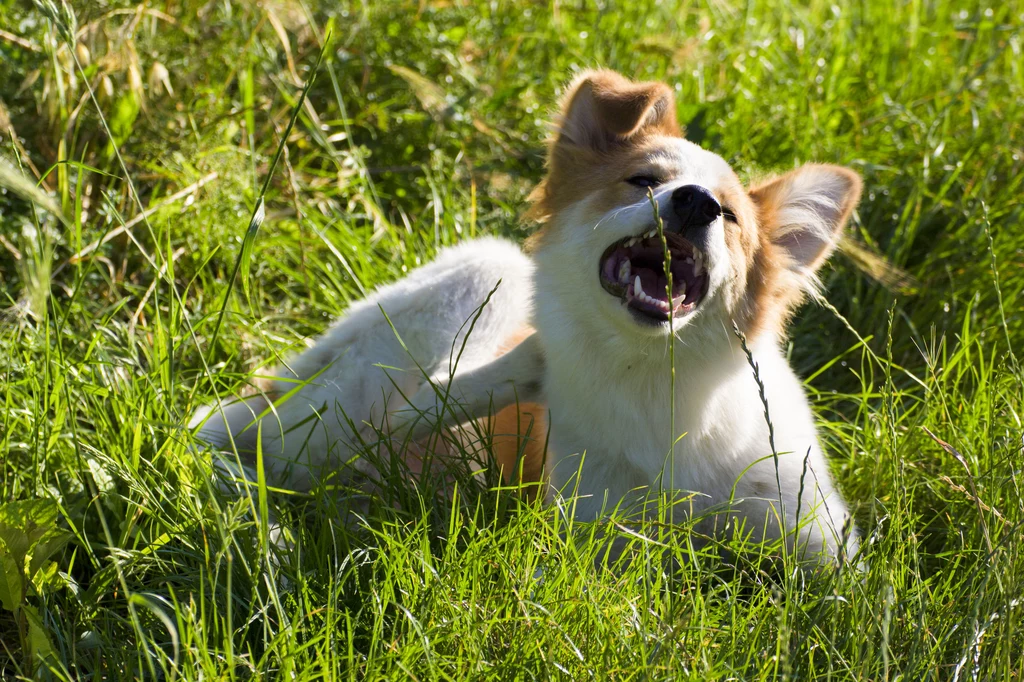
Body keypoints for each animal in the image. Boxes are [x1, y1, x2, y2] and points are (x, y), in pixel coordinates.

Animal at [193, 69, 864, 561]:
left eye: (728, 217)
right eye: (642, 180)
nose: (695, 203)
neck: (656, 380)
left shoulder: (819, 537)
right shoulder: (600, 544)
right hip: (474, 282)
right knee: (260, 442)